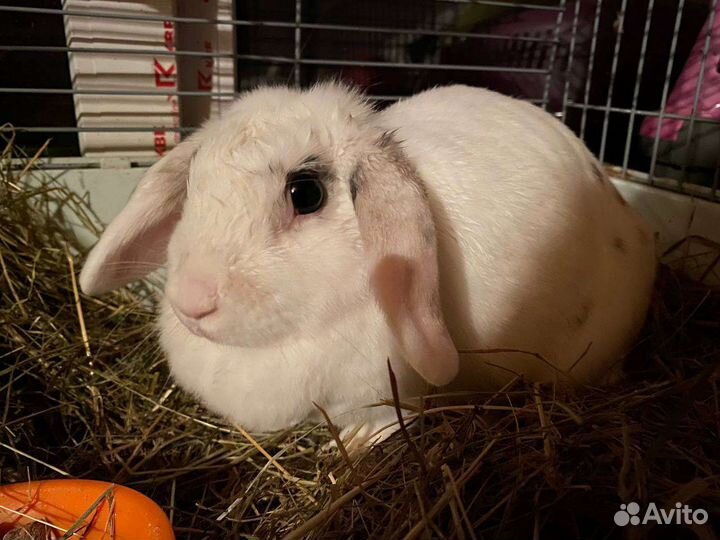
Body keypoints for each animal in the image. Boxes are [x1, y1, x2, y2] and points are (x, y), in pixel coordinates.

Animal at [79, 83, 656, 447]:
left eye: (306, 193)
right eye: (193, 183)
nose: (191, 301)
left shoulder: (379, 394)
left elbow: (384, 420)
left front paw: (355, 448)